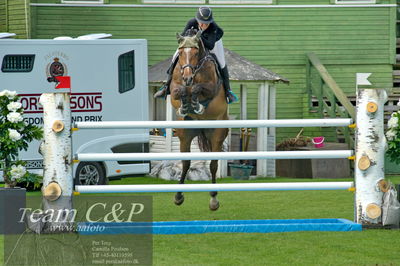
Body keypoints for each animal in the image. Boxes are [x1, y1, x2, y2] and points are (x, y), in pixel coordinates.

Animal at [170, 29, 230, 210]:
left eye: (196, 53)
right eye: (181, 52)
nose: (187, 77)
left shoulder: (211, 87)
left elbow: (198, 88)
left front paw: (197, 105)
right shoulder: (174, 88)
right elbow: (180, 91)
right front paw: (185, 105)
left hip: (217, 133)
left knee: (213, 164)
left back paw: (214, 199)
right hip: (185, 133)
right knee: (186, 163)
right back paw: (178, 195)